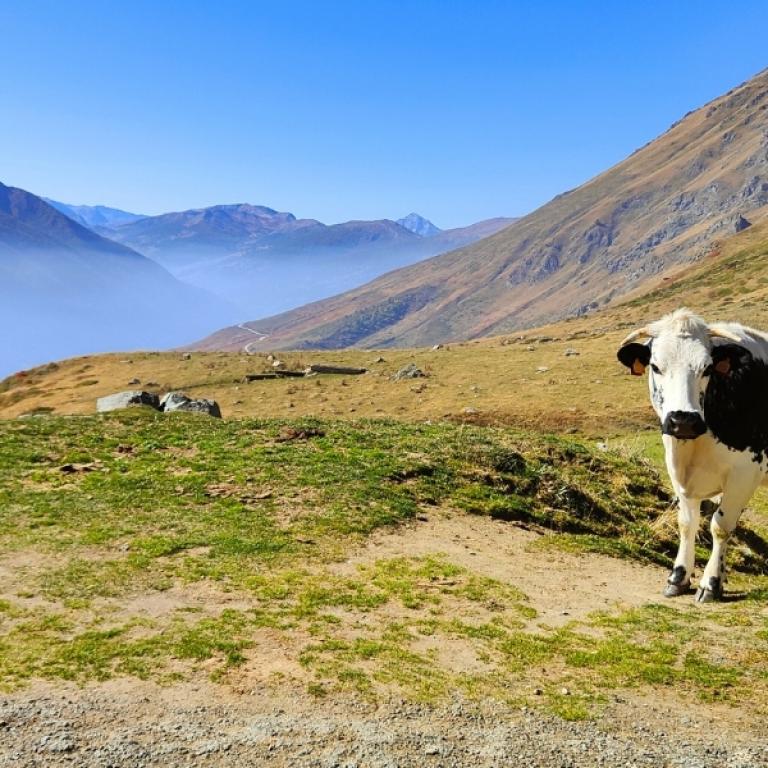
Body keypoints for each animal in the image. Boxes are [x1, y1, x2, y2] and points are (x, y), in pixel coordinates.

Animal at [617, 308, 768, 603]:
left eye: (707, 368)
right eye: (655, 366)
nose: (683, 420)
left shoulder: (746, 472)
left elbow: (720, 526)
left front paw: (710, 583)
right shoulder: (678, 470)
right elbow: (687, 523)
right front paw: (679, 577)